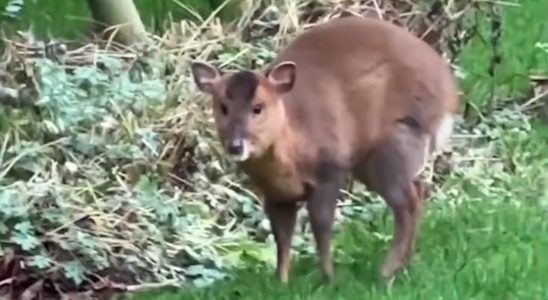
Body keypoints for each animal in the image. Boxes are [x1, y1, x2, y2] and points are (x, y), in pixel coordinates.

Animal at [191, 15, 460, 284]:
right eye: (223, 107)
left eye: (258, 108)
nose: (236, 145)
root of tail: (450, 94)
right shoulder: (275, 194)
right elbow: (282, 236)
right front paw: (282, 281)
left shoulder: (332, 168)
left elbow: (321, 224)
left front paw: (329, 278)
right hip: (371, 159)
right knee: (418, 190)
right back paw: (405, 266)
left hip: (394, 141)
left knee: (407, 202)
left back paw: (387, 271)